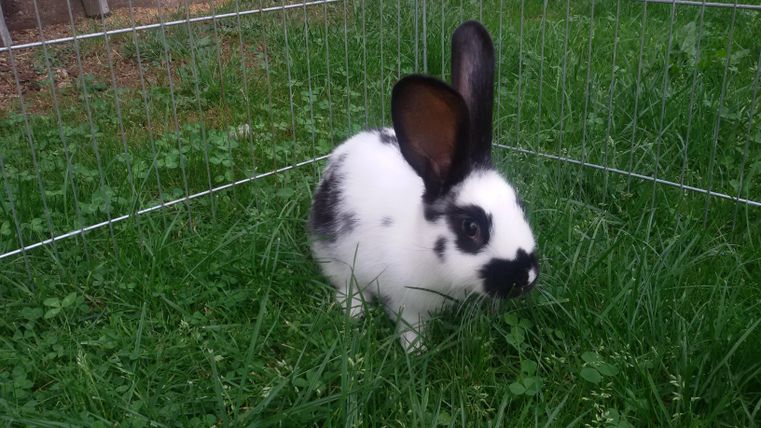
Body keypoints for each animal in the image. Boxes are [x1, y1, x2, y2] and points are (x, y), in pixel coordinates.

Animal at [309, 21, 538, 352]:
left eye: (518, 204)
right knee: (345, 281)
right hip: (333, 253)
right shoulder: (406, 300)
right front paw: (415, 350)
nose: (526, 277)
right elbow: (410, 323)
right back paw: (353, 310)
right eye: (471, 228)